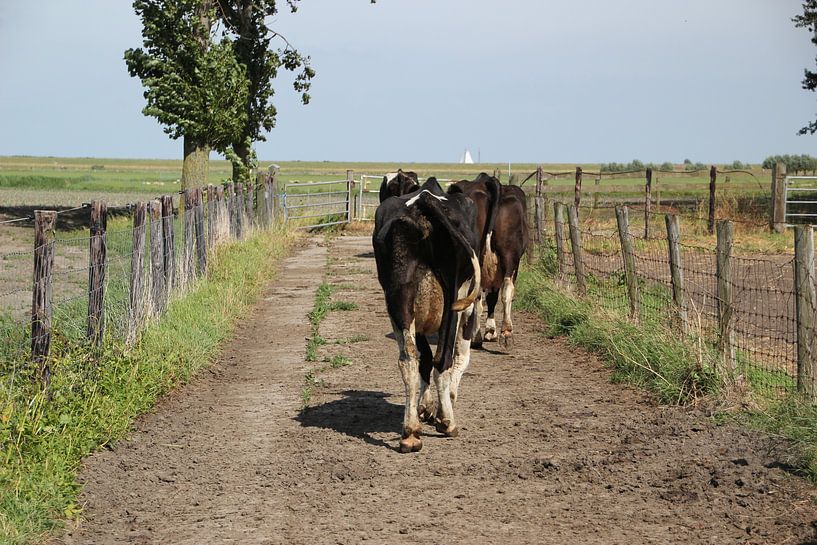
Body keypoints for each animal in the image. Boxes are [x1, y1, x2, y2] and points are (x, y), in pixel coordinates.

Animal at [372, 172, 524, 452]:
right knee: (444, 358)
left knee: (409, 359)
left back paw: (410, 433)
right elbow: (460, 357)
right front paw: (444, 405)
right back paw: (448, 422)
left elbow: (423, 360)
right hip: (459, 297)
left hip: (399, 297)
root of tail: (425, 202)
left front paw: (425, 407)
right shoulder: (467, 308)